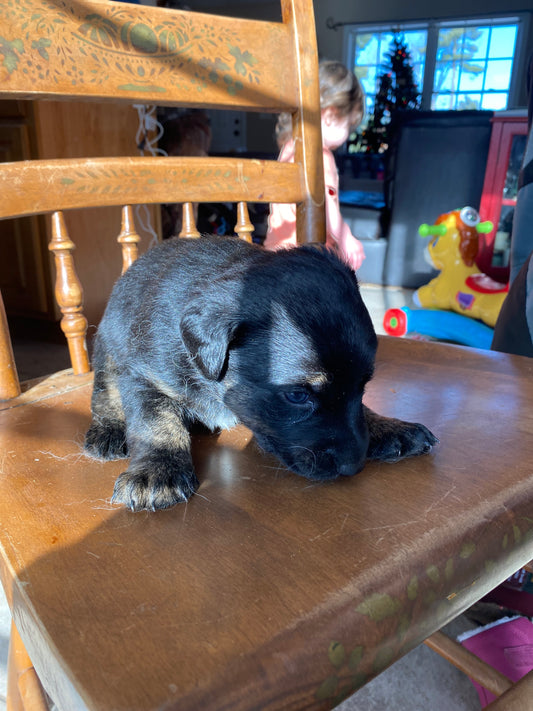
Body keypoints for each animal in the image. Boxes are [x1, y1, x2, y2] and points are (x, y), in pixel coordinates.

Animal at [85, 235, 436, 512]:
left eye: (363, 385)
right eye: (297, 395)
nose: (354, 467)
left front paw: (389, 427)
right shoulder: (143, 377)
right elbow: (154, 423)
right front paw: (157, 471)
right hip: (107, 348)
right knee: (104, 391)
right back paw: (108, 431)